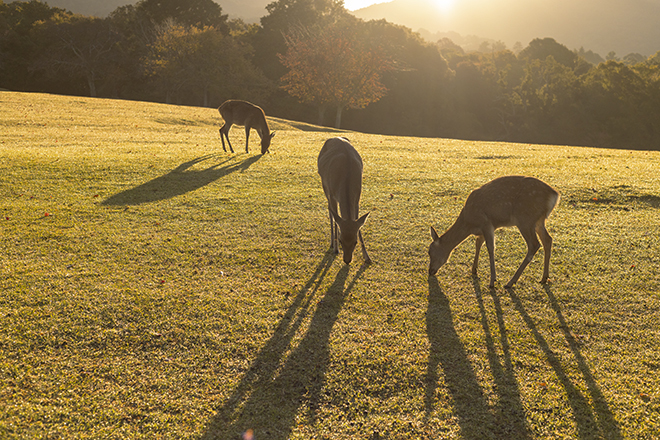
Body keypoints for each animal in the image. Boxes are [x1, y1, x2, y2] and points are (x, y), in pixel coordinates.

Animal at [428, 175, 564, 288]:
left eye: (430, 252)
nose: (430, 271)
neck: (469, 223)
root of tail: (555, 195)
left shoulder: (487, 223)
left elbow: (491, 247)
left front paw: (492, 280)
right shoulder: (482, 230)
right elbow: (478, 244)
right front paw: (474, 270)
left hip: (525, 219)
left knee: (534, 244)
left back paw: (510, 282)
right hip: (539, 221)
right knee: (548, 240)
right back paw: (544, 278)